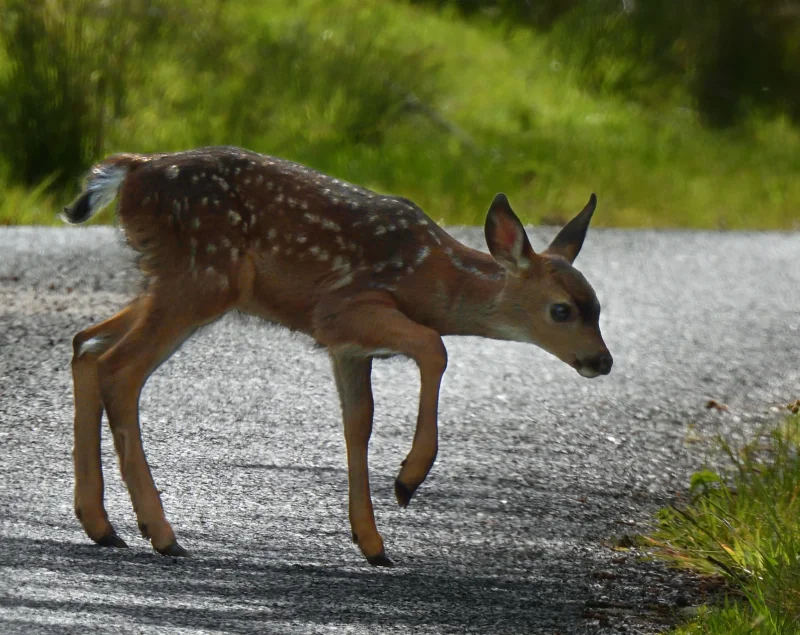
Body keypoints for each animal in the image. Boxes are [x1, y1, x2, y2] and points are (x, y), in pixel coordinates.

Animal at [62, 145, 612, 567]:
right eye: (561, 310)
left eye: (598, 307)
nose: (602, 361)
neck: (430, 280)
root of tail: (132, 170)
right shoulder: (342, 310)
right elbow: (435, 348)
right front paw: (407, 480)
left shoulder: (349, 347)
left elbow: (358, 423)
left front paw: (371, 542)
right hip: (202, 275)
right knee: (119, 369)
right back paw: (162, 534)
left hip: (177, 283)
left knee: (86, 346)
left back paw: (102, 525)